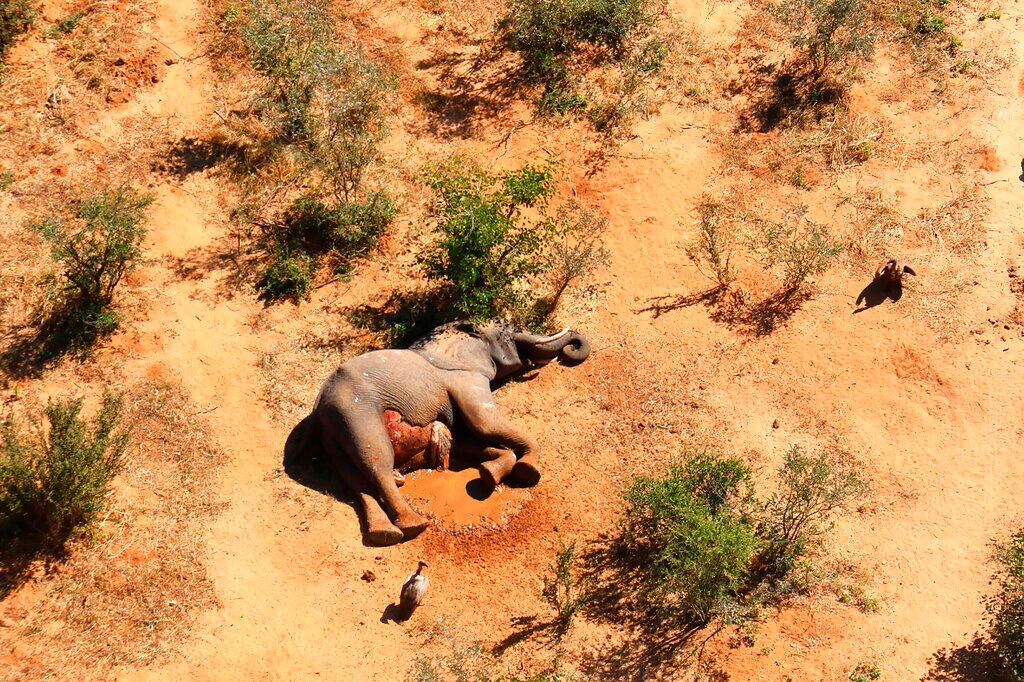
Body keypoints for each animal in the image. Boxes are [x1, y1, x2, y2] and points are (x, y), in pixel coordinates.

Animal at [290, 321, 591, 546]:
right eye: (508, 331)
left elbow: (465, 440)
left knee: (354, 479)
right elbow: (485, 423)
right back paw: (414, 525)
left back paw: (384, 534)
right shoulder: (465, 378)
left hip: (334, 431)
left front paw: (489, 474)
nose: (571, 345)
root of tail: (317, 408)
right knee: (377, 464)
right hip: (354, 412)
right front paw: (528, 471)